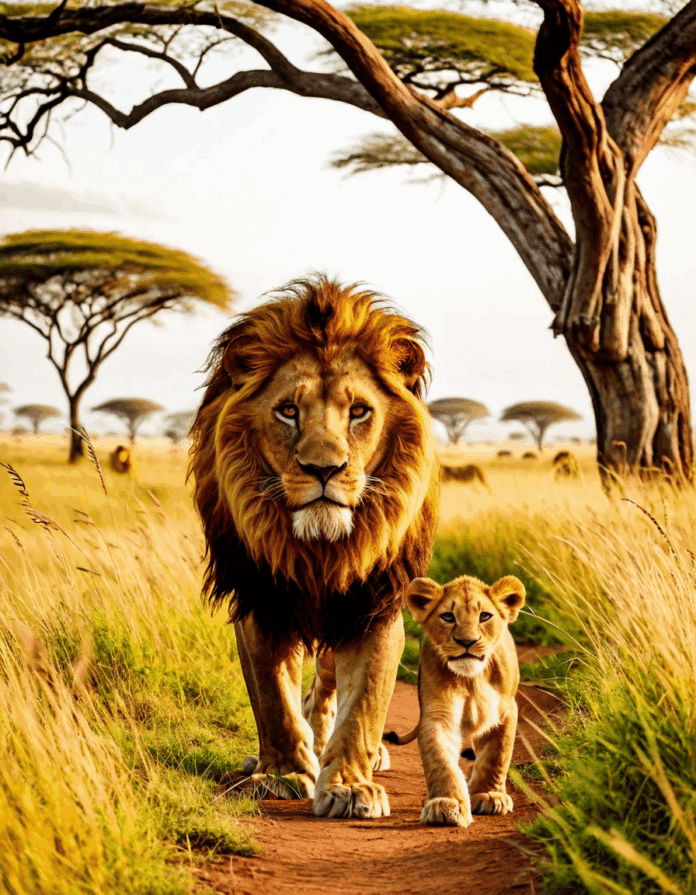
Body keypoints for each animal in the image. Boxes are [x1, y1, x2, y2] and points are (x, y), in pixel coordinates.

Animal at [189, 276, 439, 819]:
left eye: (359, 411)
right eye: (288, 411)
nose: (323, 469)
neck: (320, 551)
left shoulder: (372, 604)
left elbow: (364, 701)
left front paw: (347, 783)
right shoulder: (262, 597)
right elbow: (271, 694)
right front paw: (281, 774)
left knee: (327, 684)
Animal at [384, 573, 525, 827]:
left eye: (485, 616)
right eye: (448, 617)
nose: (467, 642)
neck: (471, 679)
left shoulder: (505, 710)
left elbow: (496, 756)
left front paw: (490, 795)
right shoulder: (438, 715)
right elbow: (441, 761)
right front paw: (447, 805)